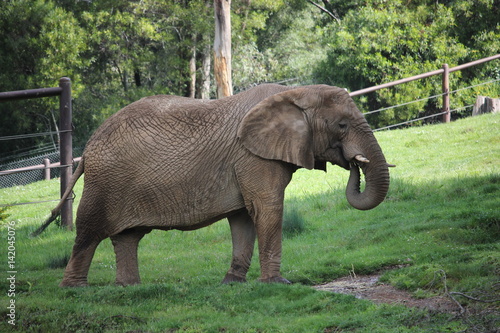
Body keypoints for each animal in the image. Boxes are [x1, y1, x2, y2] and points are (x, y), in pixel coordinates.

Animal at [37, 83, 392, 286]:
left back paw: (130, 288)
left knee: (127, 237)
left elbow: (244, 217)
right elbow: (267, 209)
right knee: (89, 231)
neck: (294, 93)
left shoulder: (245, 162)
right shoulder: (251, 156)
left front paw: (232, 284)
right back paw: (75, 289)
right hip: (105, 182)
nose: (354, 163)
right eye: (342, 126)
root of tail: (87, 150)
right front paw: (278, 284)